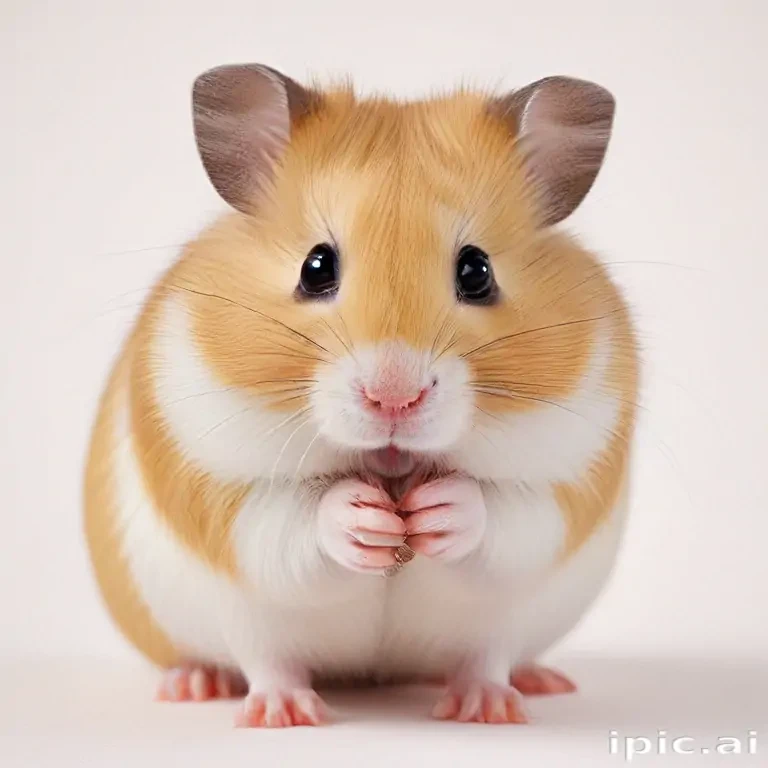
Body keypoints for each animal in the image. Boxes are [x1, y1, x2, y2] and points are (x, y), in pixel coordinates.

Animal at [84, 63, 638, 727]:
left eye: (477, 271)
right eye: (316, 266)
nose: (393, 400)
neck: (392, 470)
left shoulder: (567, 481)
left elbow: (504, 512)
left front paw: (435, 512)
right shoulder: (214, 484)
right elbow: (287, 518)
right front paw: (365, 520)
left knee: (487, 657)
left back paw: (501, 701)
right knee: (263, 662)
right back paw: (256, 705)